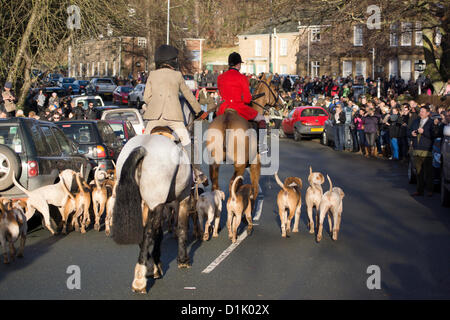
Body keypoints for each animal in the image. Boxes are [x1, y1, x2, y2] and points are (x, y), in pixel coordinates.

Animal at [206, 73, 280, 206]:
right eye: (276, 89)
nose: (282, 104)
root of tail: (228, 118)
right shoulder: (255, 163)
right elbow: (254, 188)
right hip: (239, 165)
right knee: (232, 184)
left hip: (214, 163)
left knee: (215, 186)